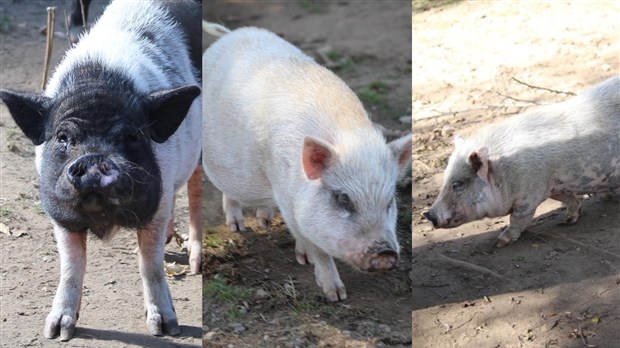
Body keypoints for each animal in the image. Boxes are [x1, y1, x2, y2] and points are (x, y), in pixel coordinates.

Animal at [0, 0, 201, 342]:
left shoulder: (156, 206)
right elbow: (71, 266)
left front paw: (165, 329)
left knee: (197, 189)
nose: (94, 160)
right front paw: (56, 332)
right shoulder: (60, 213)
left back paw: (195, 262)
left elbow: (150, 263)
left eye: (131, 136)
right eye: (63, 137)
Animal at [200, 23, 412, 302]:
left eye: (389, 202)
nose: (385, 254)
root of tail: (230, 33)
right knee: (228, 192)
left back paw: (264, 221)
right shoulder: (286, 195)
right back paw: (237, 228)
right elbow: (313, 244)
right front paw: (335, 294)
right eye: (342, 199)